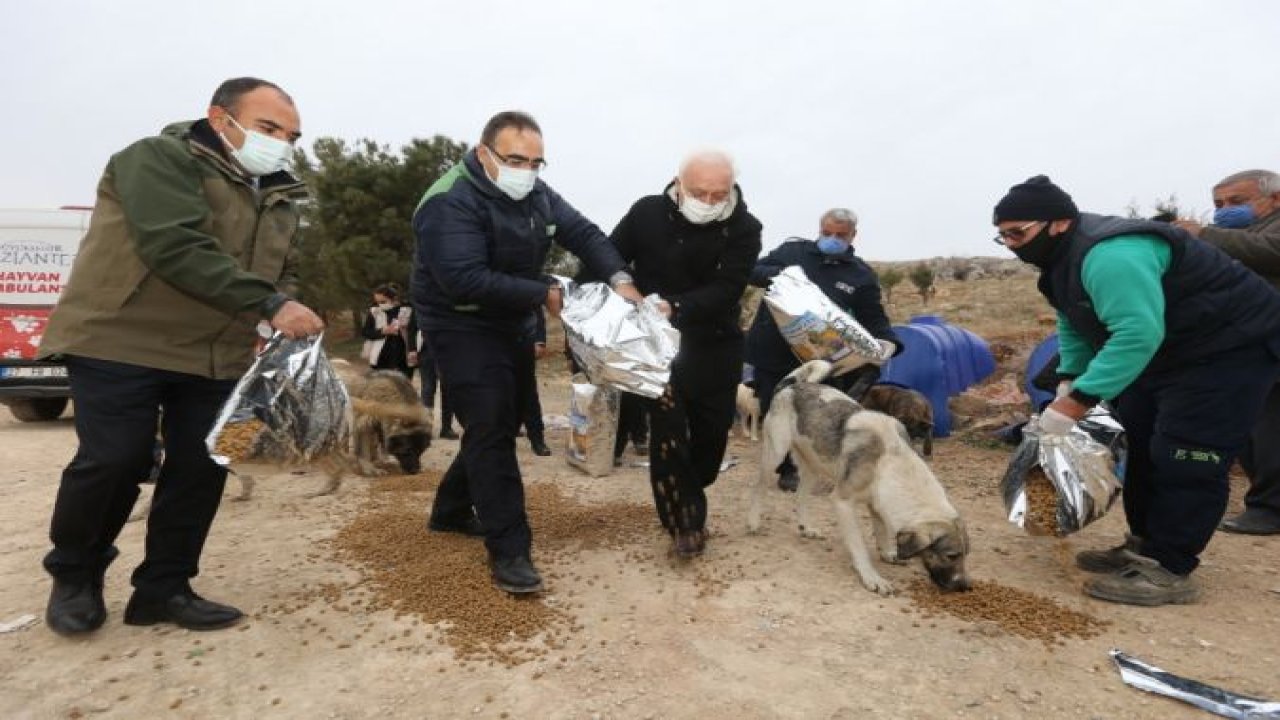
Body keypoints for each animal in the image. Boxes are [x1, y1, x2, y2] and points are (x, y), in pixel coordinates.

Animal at [747, 358, 962, 594]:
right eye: (951, 556)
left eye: (965, 555)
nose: (965, 586)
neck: (892, 459)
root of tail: (792, 385)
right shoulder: (842, 502)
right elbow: (859, 545)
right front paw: (871, 577)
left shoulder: (877, 503)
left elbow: (882, 530)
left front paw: (888, 553)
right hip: (775, 455)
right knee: (758, 488)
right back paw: (753, 522)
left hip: (814, 466)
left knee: (800, 496)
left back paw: (806, 528)